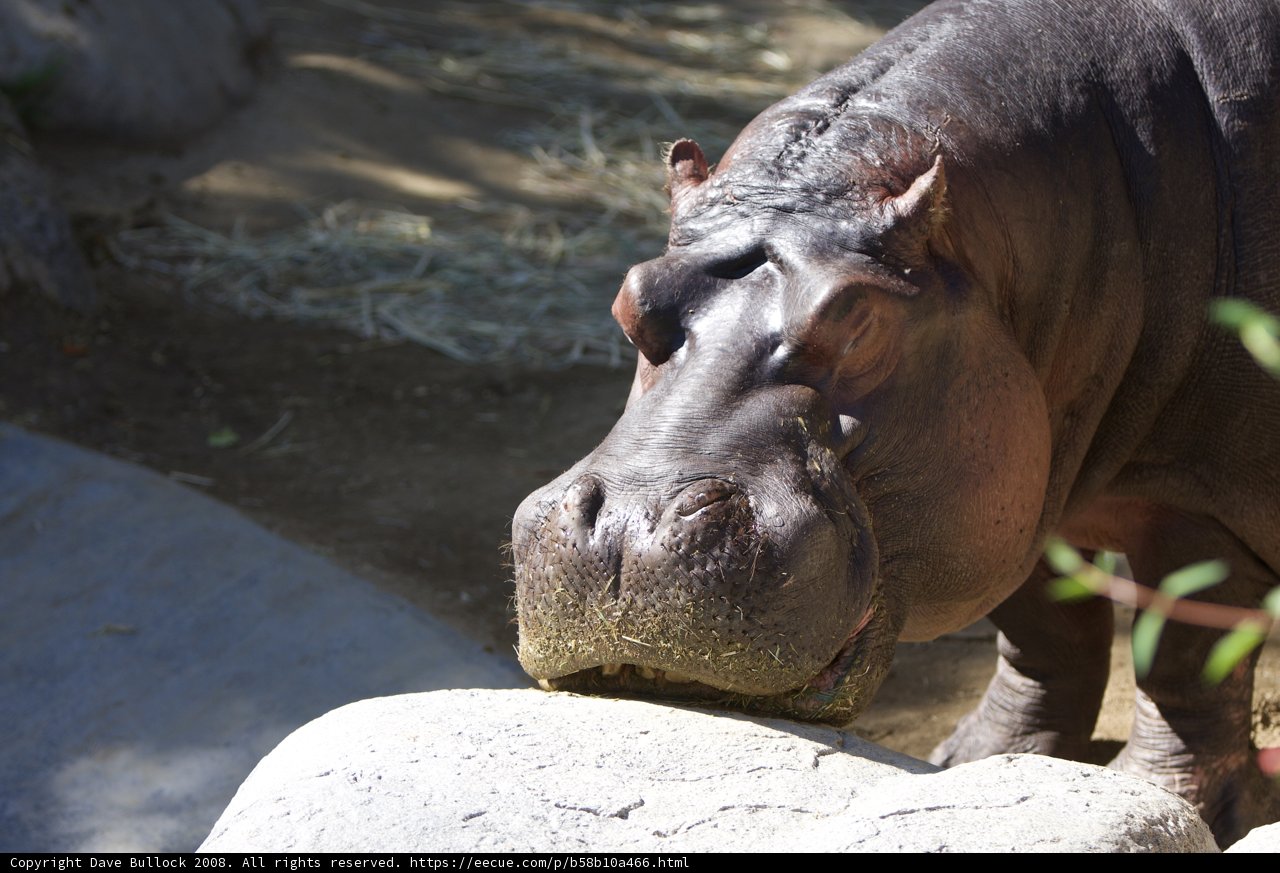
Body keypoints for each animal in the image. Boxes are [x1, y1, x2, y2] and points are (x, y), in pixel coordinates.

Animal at [511, 0, 1280, 845]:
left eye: (857, 320)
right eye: (631, 297)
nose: (624, 531)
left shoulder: (1200, 507)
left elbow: (1184, 663)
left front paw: (1166, 801)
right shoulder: (1015, 487)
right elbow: (1046, 630)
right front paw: (976, 762)